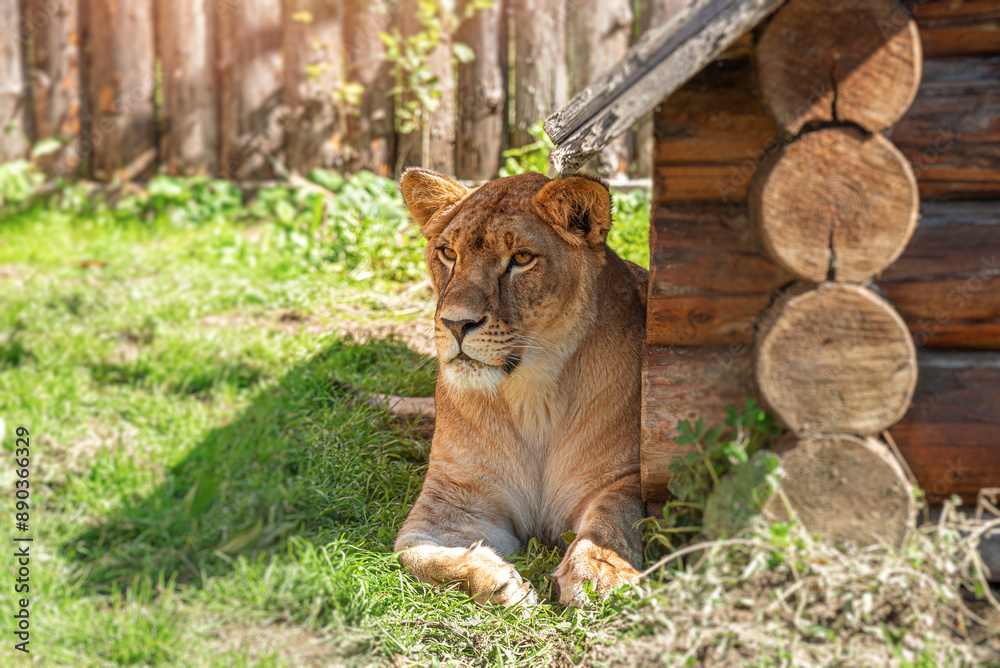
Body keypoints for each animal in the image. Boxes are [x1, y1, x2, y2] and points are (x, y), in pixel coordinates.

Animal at [394, 168, 648, 606]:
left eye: (522, 259)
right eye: (448, 253)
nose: (455, 324)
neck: (532, 394)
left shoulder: (629, 476)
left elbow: (613, 518)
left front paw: (598, 573)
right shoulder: (453, 498)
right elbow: (413, 553)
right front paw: (494, 579)